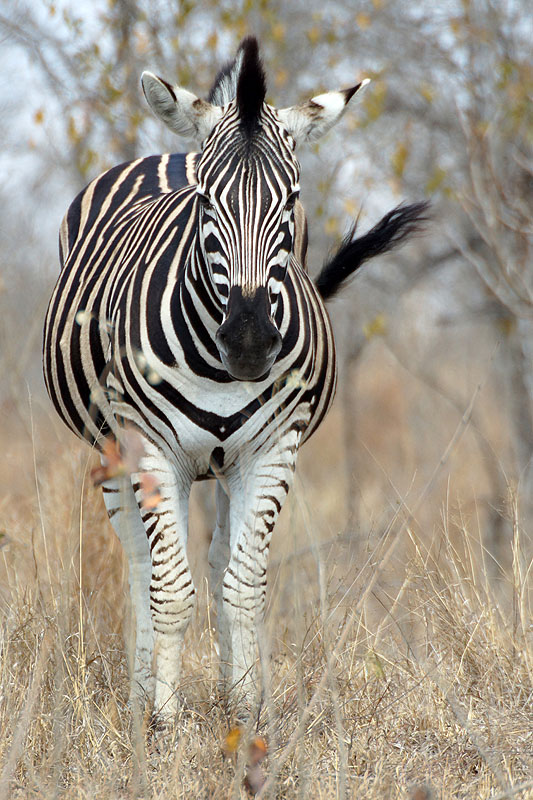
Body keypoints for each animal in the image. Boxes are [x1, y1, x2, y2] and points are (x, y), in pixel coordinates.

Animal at [42, 37, 428, 720]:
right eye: (205, 203)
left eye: (292, 201)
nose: (249, 341)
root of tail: (172, 151)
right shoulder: (150, 447)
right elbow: (170, 589)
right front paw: (164, 726)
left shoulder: (271, 450)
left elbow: (242, 586)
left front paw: (247, 717)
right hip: (112, 446)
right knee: (139, 564)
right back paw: (139, 698)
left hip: (225, 463)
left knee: (220, 558)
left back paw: (228, 691)